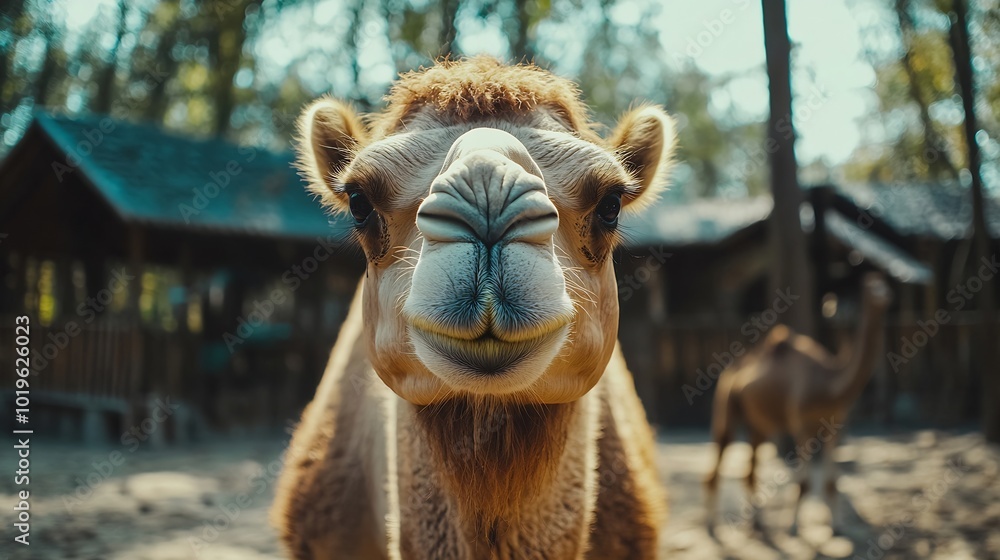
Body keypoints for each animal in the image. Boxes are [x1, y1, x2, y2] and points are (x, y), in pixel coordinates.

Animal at [704, 272, 892, 536]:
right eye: (872, 286)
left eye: (884, 283)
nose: (887, 295)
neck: (828, 385)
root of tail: (730, 372)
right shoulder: (802, 426)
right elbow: (803, 483)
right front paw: (792, 527)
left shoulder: (833, 427)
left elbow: (831, 482)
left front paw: (837, 526)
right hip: (727, 406)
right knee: (717, 464)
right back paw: (712, 524)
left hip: (758, 424)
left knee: (750, 470)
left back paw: (756, 523)